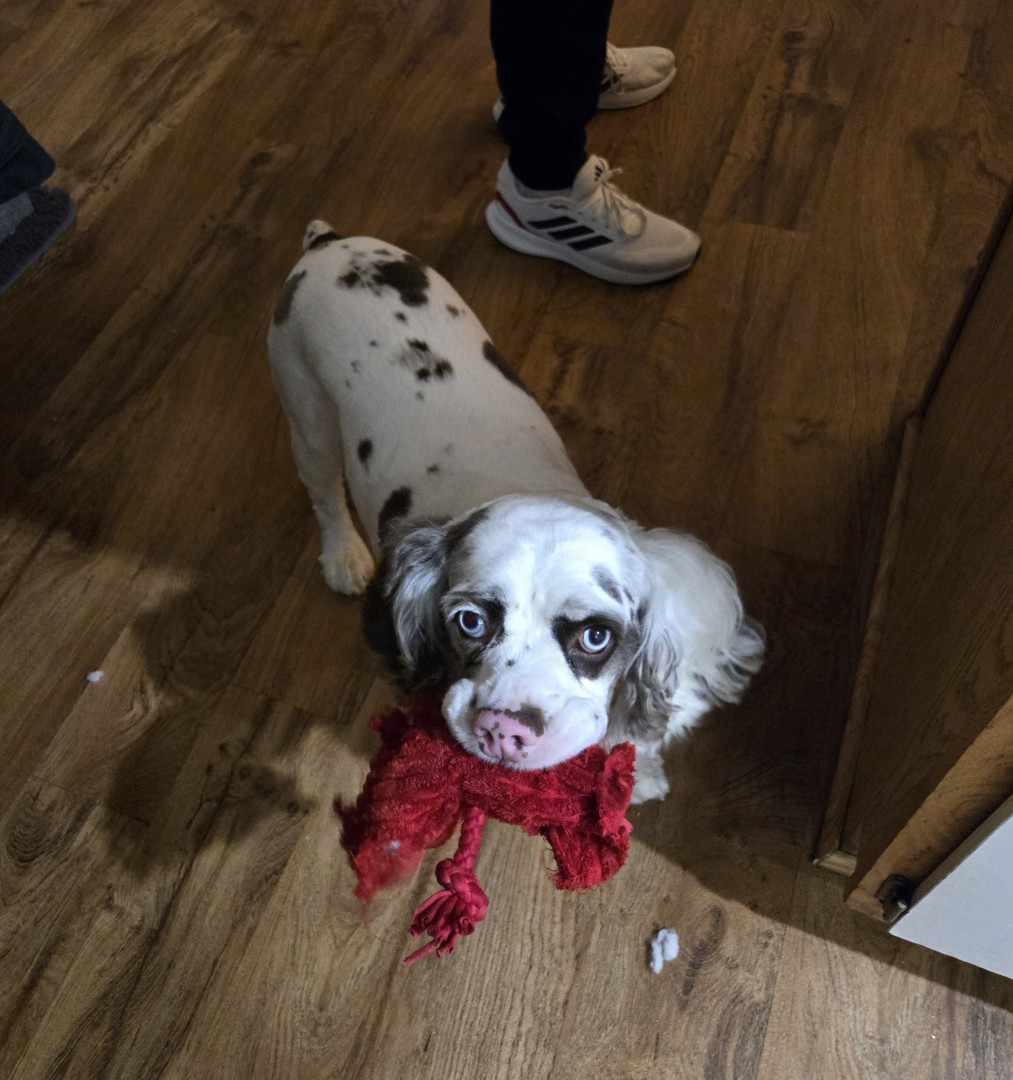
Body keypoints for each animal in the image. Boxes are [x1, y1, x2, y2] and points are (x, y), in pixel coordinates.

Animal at [267, 222, 763, 802]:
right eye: (470, 621)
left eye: (596, 636)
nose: (502, 730)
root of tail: (329, 242)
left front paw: (640, 773)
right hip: (307, 411)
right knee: (324, 493)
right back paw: (343, 556)